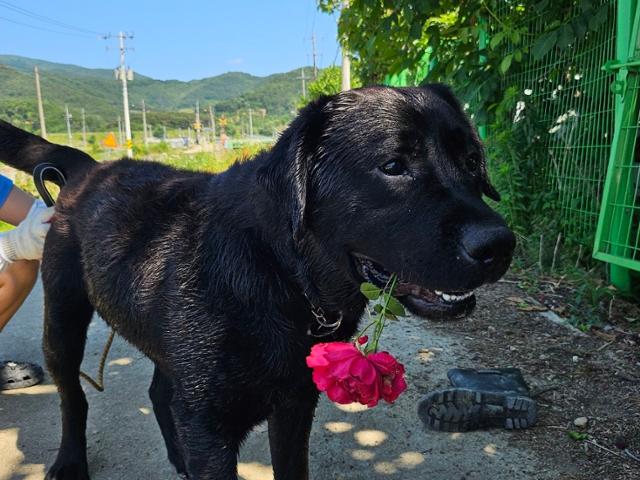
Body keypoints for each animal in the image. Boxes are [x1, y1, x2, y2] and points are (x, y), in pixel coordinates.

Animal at [0, 84, 516, 478]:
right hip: (63, 319)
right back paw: (70, 462)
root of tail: (89, 169)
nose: (500, 245)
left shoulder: (294, 406)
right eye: (392, 166)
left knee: (158, 392)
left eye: (473, 161)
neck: (281, 272)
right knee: (73, 398)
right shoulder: (210, 428)